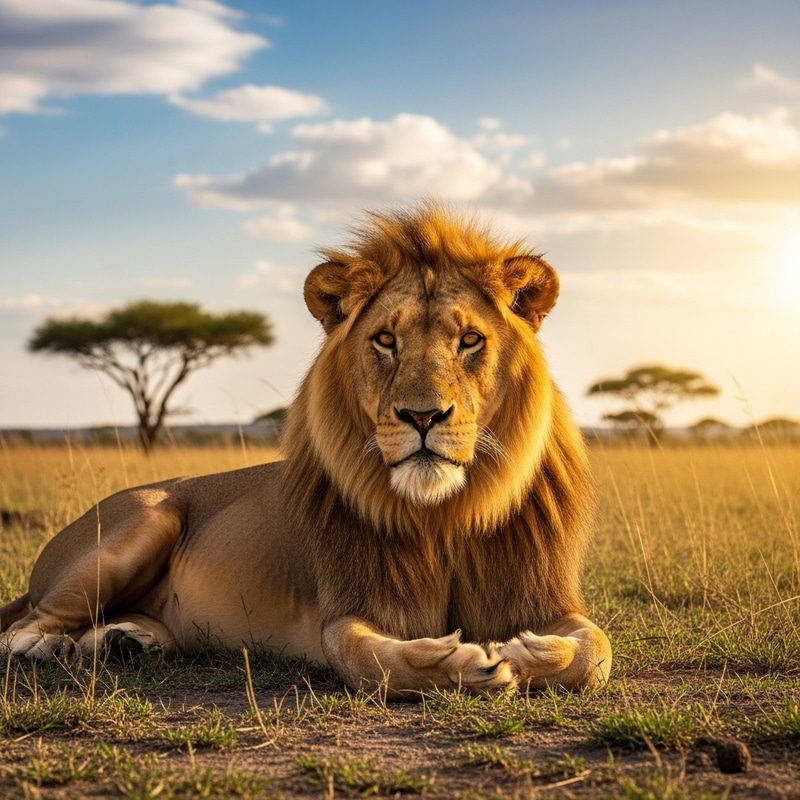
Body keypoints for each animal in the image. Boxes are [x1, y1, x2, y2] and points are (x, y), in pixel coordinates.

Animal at [0, 205, 611, 696]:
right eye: (385, 340)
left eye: (470, 340)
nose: (422, 417)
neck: (448, 514)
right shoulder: (348, 609)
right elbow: (370, 662)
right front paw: (462, 661)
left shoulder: (551, 603)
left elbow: (597, 652)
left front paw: (530, 651)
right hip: (143, 523)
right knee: (21, 626)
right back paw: (50, 647)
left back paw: (127, 642)